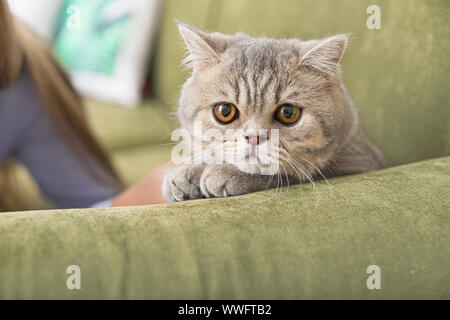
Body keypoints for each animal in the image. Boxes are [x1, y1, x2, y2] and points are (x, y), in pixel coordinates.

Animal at [163, 23, 384, 201]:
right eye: (224, 111)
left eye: (288, 113)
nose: (254, 137)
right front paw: (189, 171)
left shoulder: (359, 161)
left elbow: (287, 173)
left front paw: (224, 172)